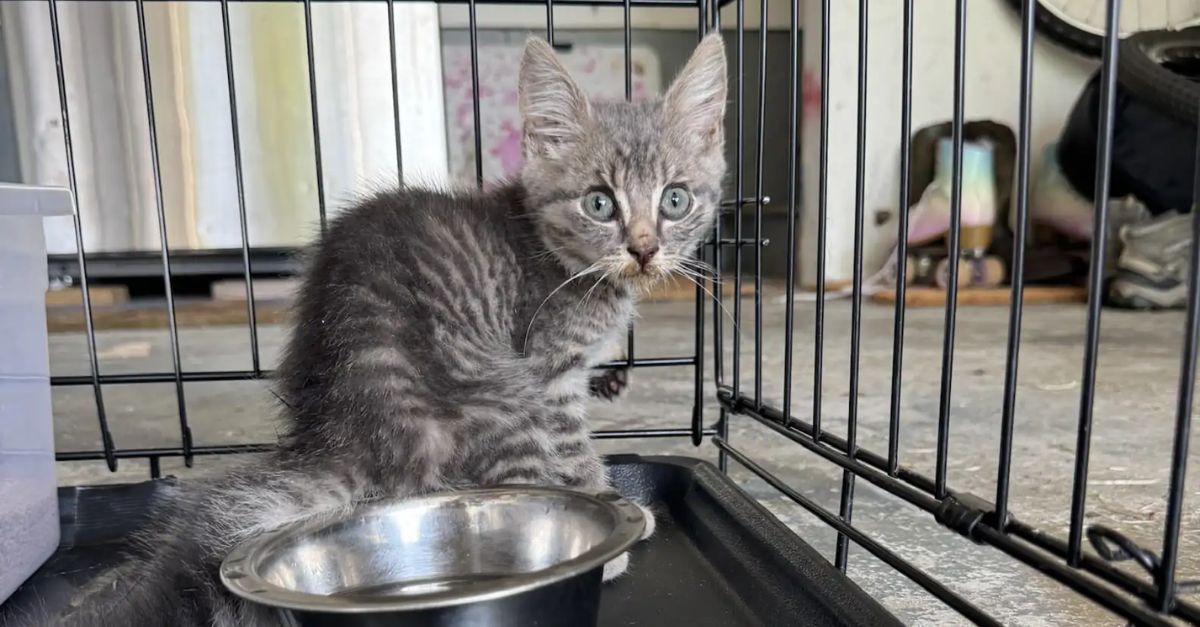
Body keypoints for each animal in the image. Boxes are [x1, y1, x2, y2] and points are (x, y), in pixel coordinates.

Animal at [51, 32, 724, 624]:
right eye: (599, 204)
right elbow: (576, 452)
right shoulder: (549, 370)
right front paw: (611, 507)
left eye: (675, 200)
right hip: (502, 395)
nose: (645, 251)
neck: (556, 255)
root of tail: (346, 436)